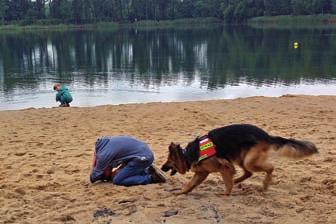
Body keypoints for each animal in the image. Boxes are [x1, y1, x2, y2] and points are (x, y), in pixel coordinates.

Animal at [161, 123, 318, 195]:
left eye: (169, 161)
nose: (162, 167)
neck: (187, 154)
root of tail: (267, 136)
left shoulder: (222, 167)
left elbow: (226, 183)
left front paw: (225, 194)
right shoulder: (202, 173)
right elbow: (189, 185)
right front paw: (180, 193)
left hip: (248, 161)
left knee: (269, 168)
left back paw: (265, 184)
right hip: (241, 160)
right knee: (248, 173)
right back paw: (237, 180)